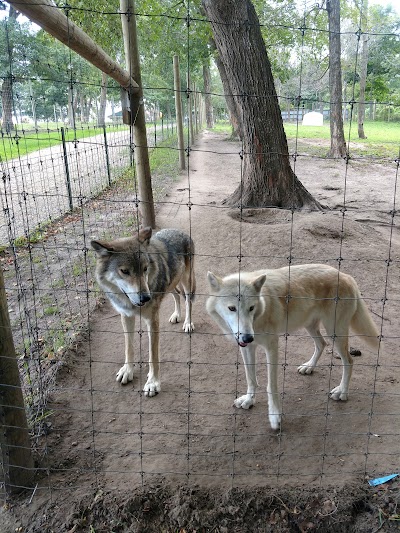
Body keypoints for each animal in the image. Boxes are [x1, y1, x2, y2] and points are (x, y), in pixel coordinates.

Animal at [91, 225, 197, 394]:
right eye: (125, 271)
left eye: (145, 269)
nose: (146, 298)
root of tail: (179, 230)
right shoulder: (126, 316)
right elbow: (129, 347)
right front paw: (127, 371)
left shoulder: (152, 321)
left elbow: (153, 356)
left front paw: (153, 383)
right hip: (171, 284)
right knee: (176, 294)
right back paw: (176, 315)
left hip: (187, 281)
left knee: (188, 300)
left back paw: (188, 323)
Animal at [208, 264, 380, 430]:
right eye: (232, 308)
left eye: (251, 308)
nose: (248, 337)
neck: (259, 316)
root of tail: (346, 276)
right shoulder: (247, 347)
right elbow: (250, 378)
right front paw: (249, 400)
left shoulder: (271, 347)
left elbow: (271, 385)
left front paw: (275, 417)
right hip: (311, 327)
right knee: (322, 344)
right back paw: (309, 367)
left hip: (335, 332)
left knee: (349, 361)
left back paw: (342, 391)